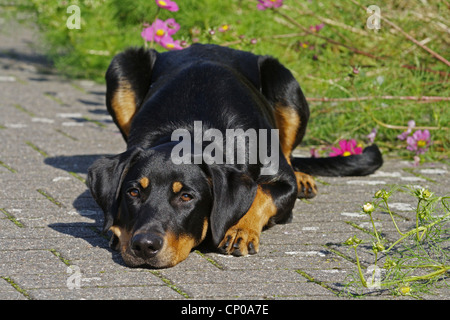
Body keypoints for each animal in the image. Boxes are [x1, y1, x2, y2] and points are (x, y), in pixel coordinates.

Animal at [86, 42, 382, 268]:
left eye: (186, 197)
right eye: (133, 192)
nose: (145, 245)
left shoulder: (282, 182)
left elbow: (260, 193)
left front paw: (240, 228)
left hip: (284, 83)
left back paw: (303, 178)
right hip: (122, 67)